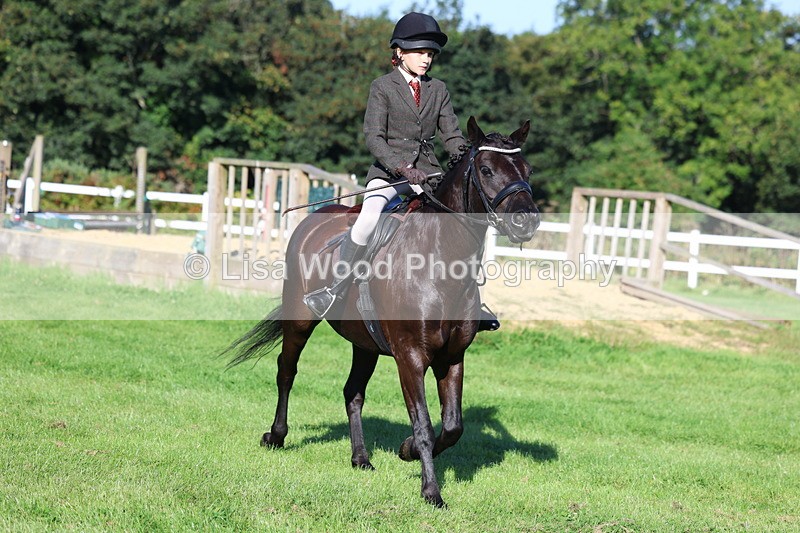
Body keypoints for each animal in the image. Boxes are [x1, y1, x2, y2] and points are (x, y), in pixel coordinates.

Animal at [225, 116, 540, 507]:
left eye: (528, 169)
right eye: (485, 169)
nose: (527, 222)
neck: (440, 260)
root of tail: (314, 219)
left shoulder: (453, 356)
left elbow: (453, 426)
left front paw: (406, 451)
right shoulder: (410, 356)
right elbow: (424, 424)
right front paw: (431, 491)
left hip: (365, 343)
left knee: (353, 392)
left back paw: (360, 457)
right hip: (300, 318)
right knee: (287, 370)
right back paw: (277, 436)